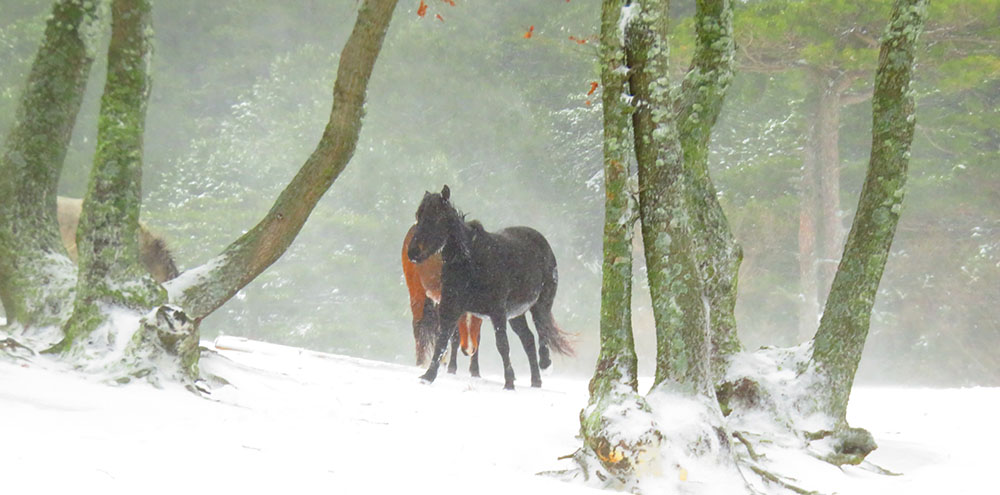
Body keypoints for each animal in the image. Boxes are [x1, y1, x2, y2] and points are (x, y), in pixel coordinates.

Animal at [400, 225, 482, 376]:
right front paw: (452, 368)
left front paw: (475, 371)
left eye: (478, 319)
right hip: (417, 292)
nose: (468, 349)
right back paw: (421, 362)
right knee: (418, 325)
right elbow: (455, 336)